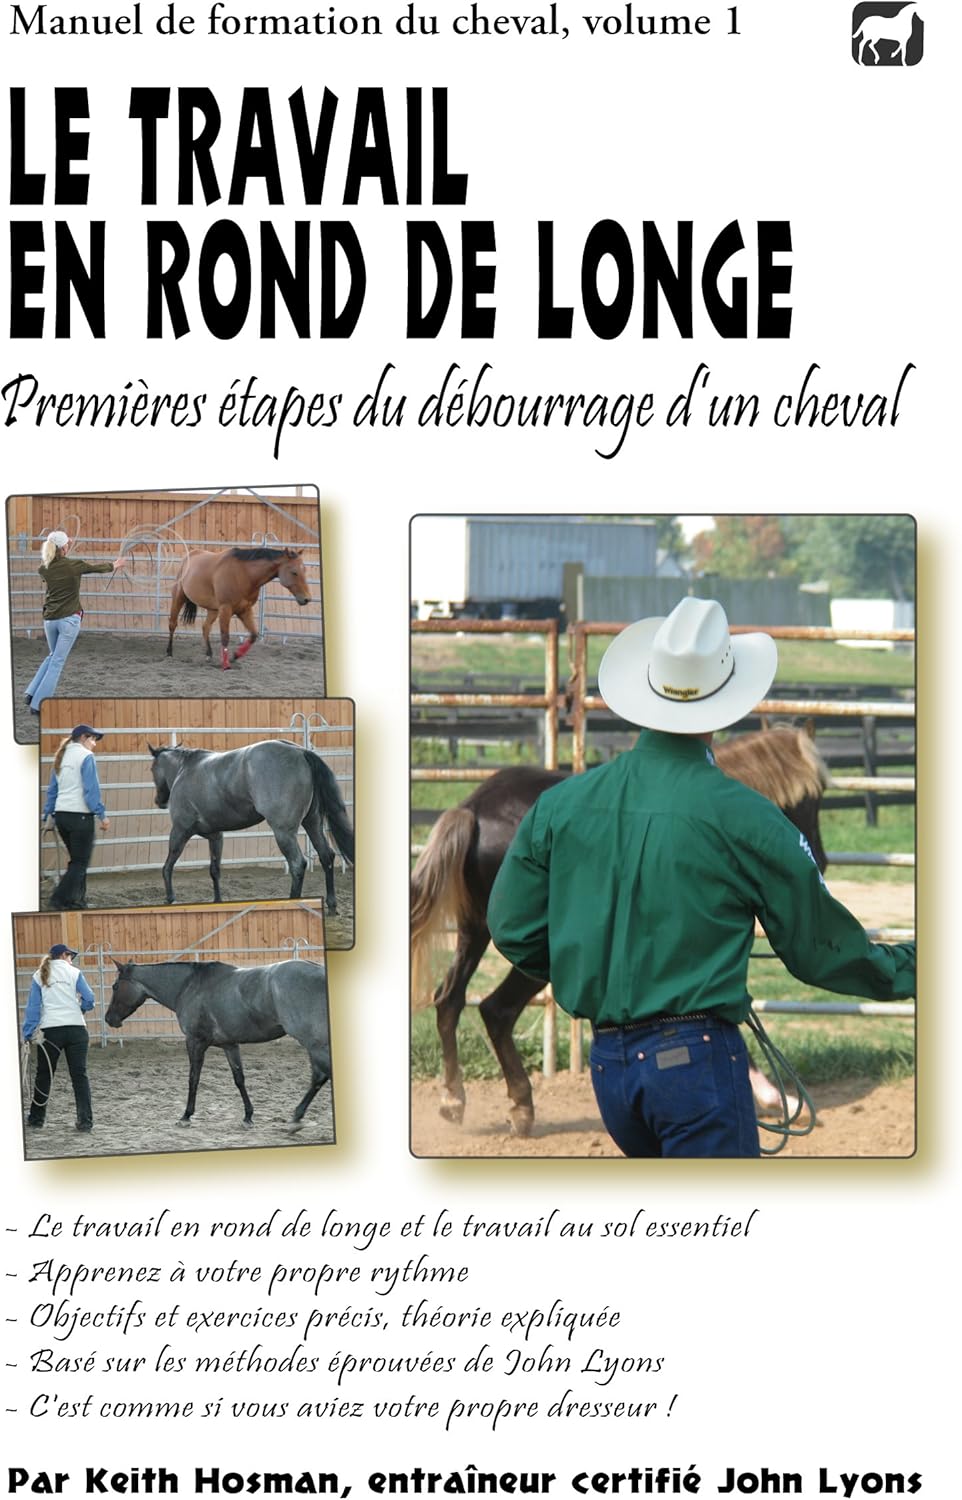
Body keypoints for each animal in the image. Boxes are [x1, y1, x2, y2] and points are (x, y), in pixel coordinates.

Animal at [105, 958, 330, 1129]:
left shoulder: (195, 1042)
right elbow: (239, 1079)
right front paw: (248, 1116)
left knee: (320, 1075)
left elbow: (193, 1079)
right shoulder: (230, 1045)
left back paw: (296, 1118)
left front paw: (186, 1116)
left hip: (314, 1043)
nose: (109, 1019)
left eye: (115, 986)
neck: (188, 986)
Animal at [149, 739, 354, 908]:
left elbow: (168, 865)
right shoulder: (216, 836)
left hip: (284, 833)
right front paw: (217, 900)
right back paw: (331, 905)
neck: (185, 770)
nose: (159, 801)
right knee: (326, 856)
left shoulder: (180, 831)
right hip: (312, 823)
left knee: (297, 864)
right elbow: (214, 870)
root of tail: (301, 752)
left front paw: (170, 898)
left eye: (152, 769)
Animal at [167, 548, 311, 669]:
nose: (307, 599)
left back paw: (209, 654)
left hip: (213, 610)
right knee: (172, 624)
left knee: (205, 627)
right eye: (294, 572)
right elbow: (225, 636)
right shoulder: (226, 609)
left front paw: (235, 655)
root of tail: (190, 555)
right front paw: (226, 664)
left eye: (304, 570)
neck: (243, 574)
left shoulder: (244, 610)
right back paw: (169, 652)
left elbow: (253, 635)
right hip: (178, 598)